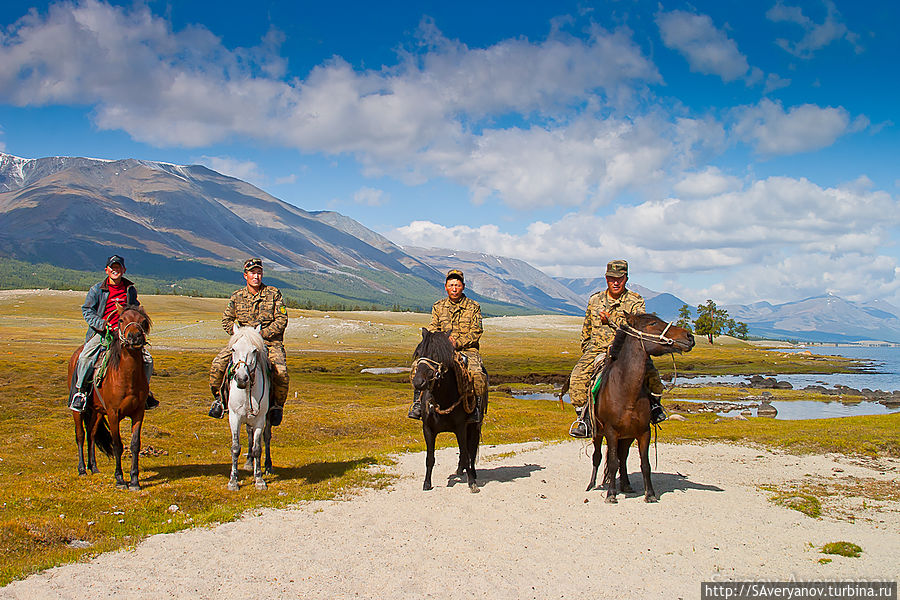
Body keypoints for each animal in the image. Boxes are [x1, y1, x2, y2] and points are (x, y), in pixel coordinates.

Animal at [67, 302, 152, 490]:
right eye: (121, 320)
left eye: (143, 321)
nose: (135, 337)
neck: (126, 377)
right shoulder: (113, 413)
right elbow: (117, 445)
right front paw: (119, 479)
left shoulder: (138, 412)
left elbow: (135, 445)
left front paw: (134, 480)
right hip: (78, 409)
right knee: (80, 435)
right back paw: (82, 469)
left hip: (97, 411)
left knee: (91, 434)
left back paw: (94, 467)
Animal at [225, 326, 270, 490]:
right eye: (233, 349)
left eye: (254, 350)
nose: (241, 379)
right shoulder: (234, 417)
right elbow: (235, 447)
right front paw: (233, 481)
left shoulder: (260, 420)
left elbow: (258, 448)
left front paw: (259, 479)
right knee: (249, 435)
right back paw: (249, 463)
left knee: (267, 438)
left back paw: (268, 466)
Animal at [414, 328, 486, 492]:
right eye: (419, 352)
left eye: (436, 354)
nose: (418, 382)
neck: (443, 398)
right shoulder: (427, 429)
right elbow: (430, 458)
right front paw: (427, 483)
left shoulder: (461, 427)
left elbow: (466, 454)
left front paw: (472, 483)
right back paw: (460, 470)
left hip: (474, 426)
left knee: (471, 451)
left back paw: (472, 473)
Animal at [584, 312, 696, 504]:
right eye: (653, 323)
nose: (689, 336)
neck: (627, 391)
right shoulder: (611, 431)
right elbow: (611, 462)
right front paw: (611, 495)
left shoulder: (644, 432)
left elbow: (645, 464)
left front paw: (649, 494)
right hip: (598, 433)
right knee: (598, 456)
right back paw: (592, 485)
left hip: (628, 436)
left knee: (623, 458)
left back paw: (626, 485)